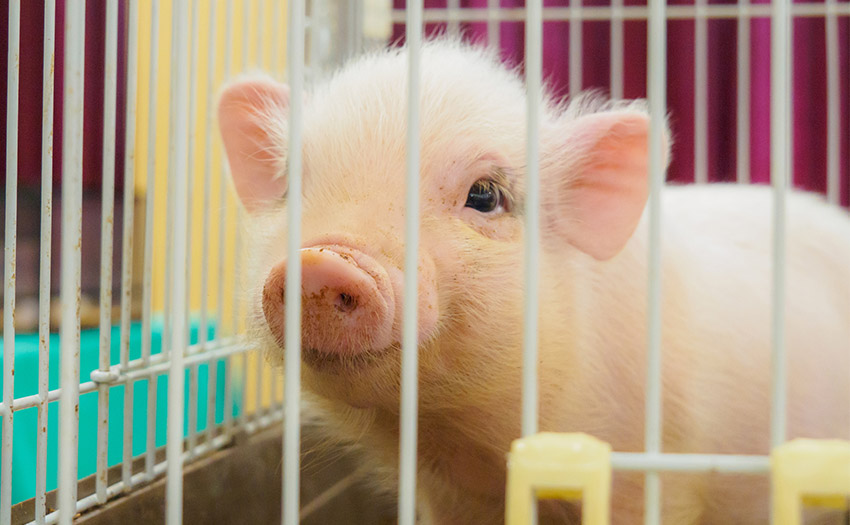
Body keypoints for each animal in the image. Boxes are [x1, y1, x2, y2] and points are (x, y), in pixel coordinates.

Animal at [216, 39, 850, 524]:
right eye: (291, 186)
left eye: (484, 195)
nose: (324, 261)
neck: (469, 438)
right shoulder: (450, 493)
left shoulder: (653, 466)